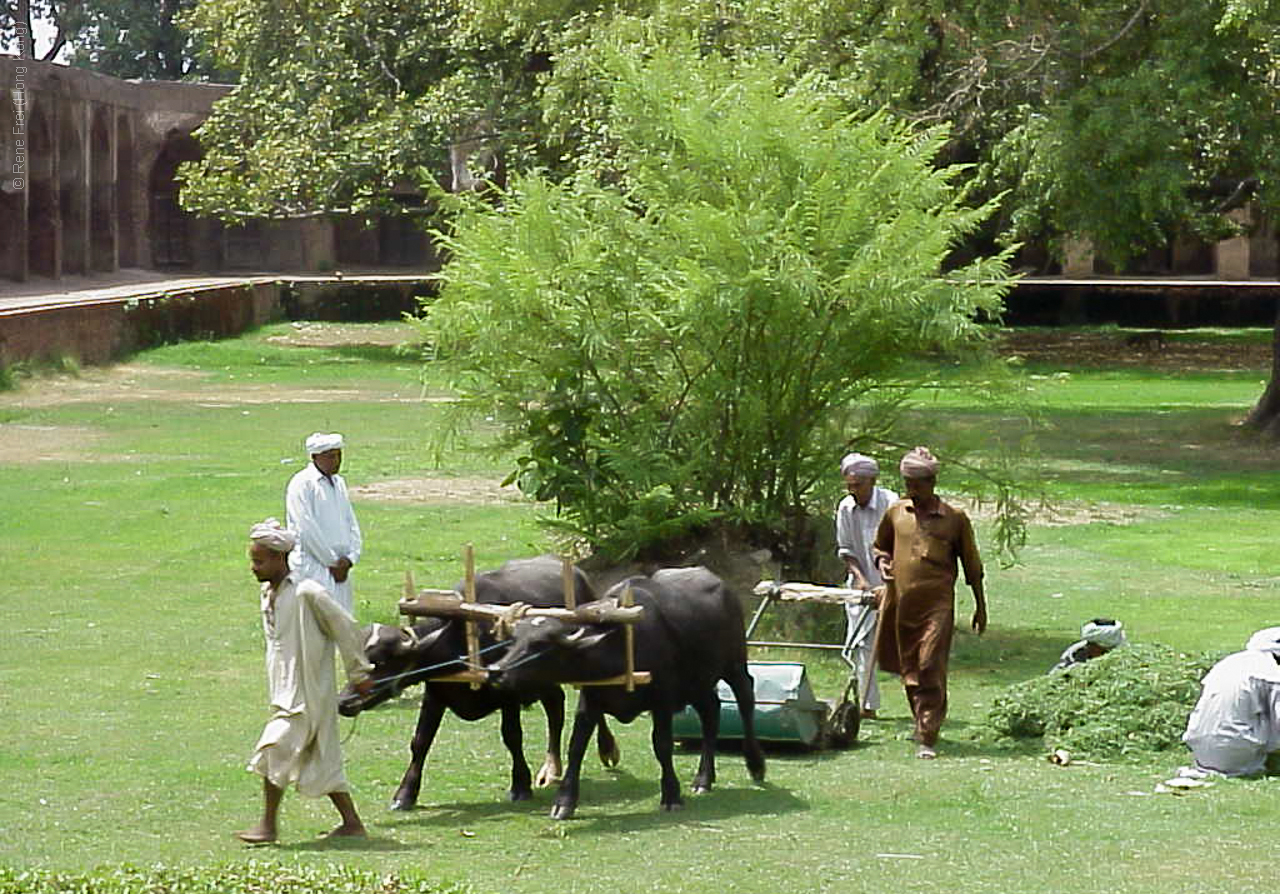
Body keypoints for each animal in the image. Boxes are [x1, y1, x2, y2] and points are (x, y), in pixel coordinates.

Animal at [340, 553, 619, 804]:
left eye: (381, 662)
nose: (344, 702)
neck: (462, 636)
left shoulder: (507, 693)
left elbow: (512, 735)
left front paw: (520, 785)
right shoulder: (435, 693)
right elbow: (420, 741)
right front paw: (405, 794)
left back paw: (607, 749)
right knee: (556, 706)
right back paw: (551, 768)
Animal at [486, 568, 768, 819]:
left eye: (540, 644)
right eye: (514, 640)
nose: (496, 672)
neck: (620, 644)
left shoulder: (663, 699)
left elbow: (662, 745)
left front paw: (671, 795)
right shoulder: (590, 701)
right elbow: (576, 746)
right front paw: (564, 802)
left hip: (734, 663)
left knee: (745, 699)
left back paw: (755, 764)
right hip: (698, 681)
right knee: (711, 711)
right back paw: (704, 779)